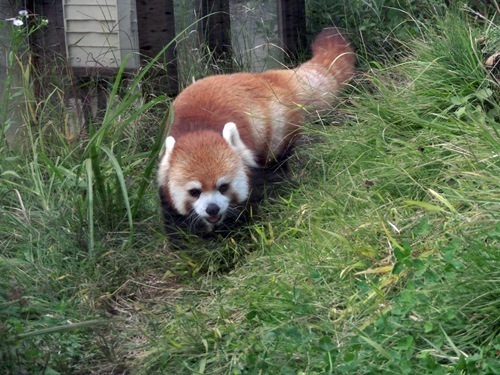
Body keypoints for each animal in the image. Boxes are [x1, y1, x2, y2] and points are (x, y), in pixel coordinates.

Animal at [156, 27, 356, 236]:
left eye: (223, 187)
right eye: (194, 191)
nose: (212, 208)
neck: (198, 129)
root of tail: (269, 78)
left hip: (276, 133)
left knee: (275, 162)